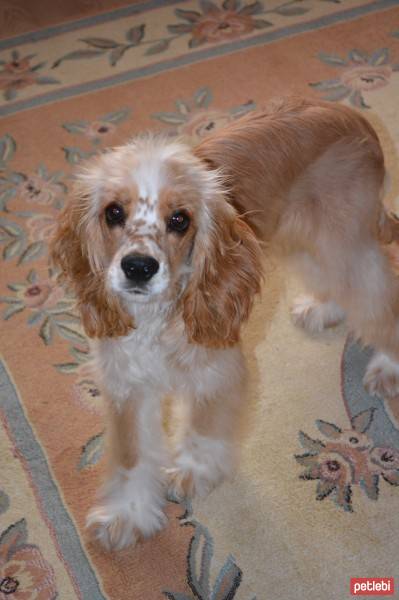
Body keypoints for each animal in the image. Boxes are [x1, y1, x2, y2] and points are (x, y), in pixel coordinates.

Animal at [51, 96, 399, 552]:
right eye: (113, 212)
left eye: (180, 219)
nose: (139, 267)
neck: (156, 319)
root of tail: (353, 115)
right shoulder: (126, 379)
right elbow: (131, 454)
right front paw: (126, 515)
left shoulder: (215, 365)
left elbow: (202, 426)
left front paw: (193, 471)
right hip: (299, 238)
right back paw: (323, 308)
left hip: (342, 242)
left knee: (380, 297)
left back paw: (388, 365)